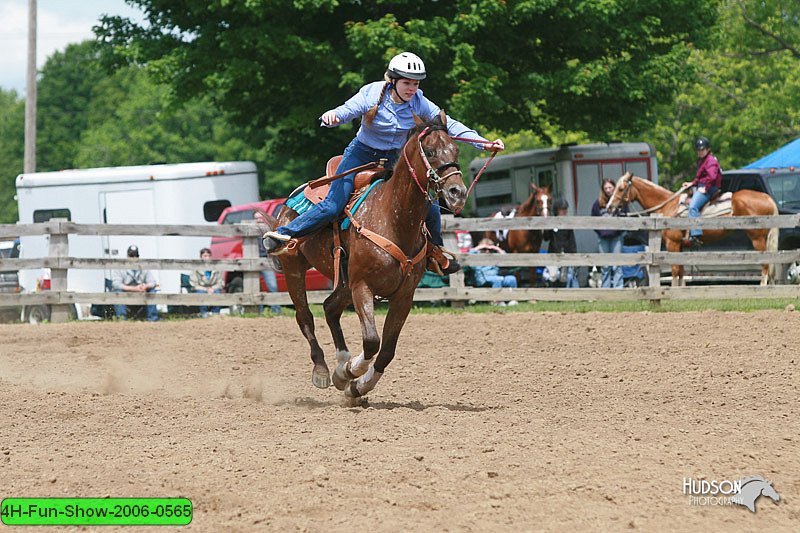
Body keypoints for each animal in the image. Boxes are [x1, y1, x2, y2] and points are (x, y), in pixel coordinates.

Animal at [262, 113, 466, 400]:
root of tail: (290, 201)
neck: (392, 217)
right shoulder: (362, 286)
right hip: (295, 270)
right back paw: (323, 371)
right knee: (305, 317)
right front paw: (347, 374)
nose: (457, 192)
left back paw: (341, 359)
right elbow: (371, 341)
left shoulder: (403, 296)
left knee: (330, 307)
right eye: (429, 151)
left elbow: (387, 349)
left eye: (455, 148)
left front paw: (358, 386)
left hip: (344, 282)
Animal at [608, 172, 776, 284]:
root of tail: (767, 198)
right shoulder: (681, 245)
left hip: (757, 238)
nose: (610, 207)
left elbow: (675, 270)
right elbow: (681, 271)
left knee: (766, 263)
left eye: (621, 189)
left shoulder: (673, 244)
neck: (669, 205)